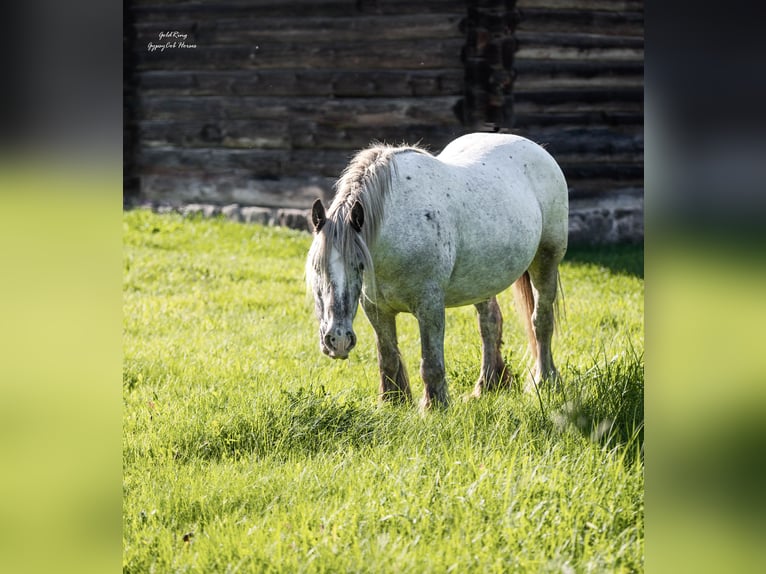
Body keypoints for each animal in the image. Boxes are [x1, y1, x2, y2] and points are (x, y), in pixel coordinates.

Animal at [308, 132, 568, 410]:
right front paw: (392, 402)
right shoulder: (377, 309)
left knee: (541, 321)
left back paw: (544, 381)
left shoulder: (430, 306)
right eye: (317, 268)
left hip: (546, 261)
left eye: (359, 265)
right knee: (489, 324)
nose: (338, 340)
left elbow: (431, 362)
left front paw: (435, 407)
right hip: (483, 282)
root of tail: (537, 149)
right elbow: (388, 357)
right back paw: (486, 386)